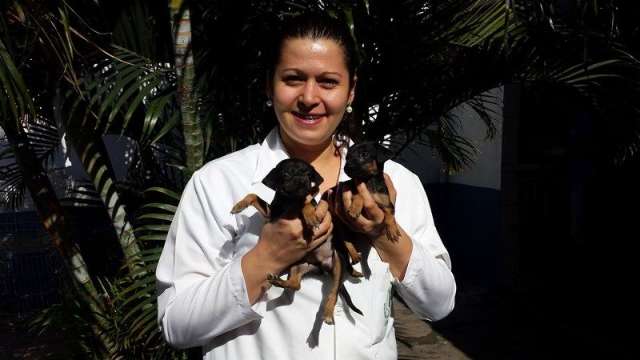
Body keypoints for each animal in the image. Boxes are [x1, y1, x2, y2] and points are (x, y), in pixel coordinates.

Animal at [230, 158, 360, 324]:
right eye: (286, 174)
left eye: (308, 174)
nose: (302, 180)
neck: (289, 200)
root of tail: (322, 265)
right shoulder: (271, 214)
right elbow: (253, 195)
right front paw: (239, 205)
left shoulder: (304, 201)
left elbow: (305, 202)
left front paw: (310, 216)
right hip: (298, 265)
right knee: (296, 285)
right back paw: (278, 281)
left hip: (338, 263)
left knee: (334, 292)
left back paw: (328, 313)